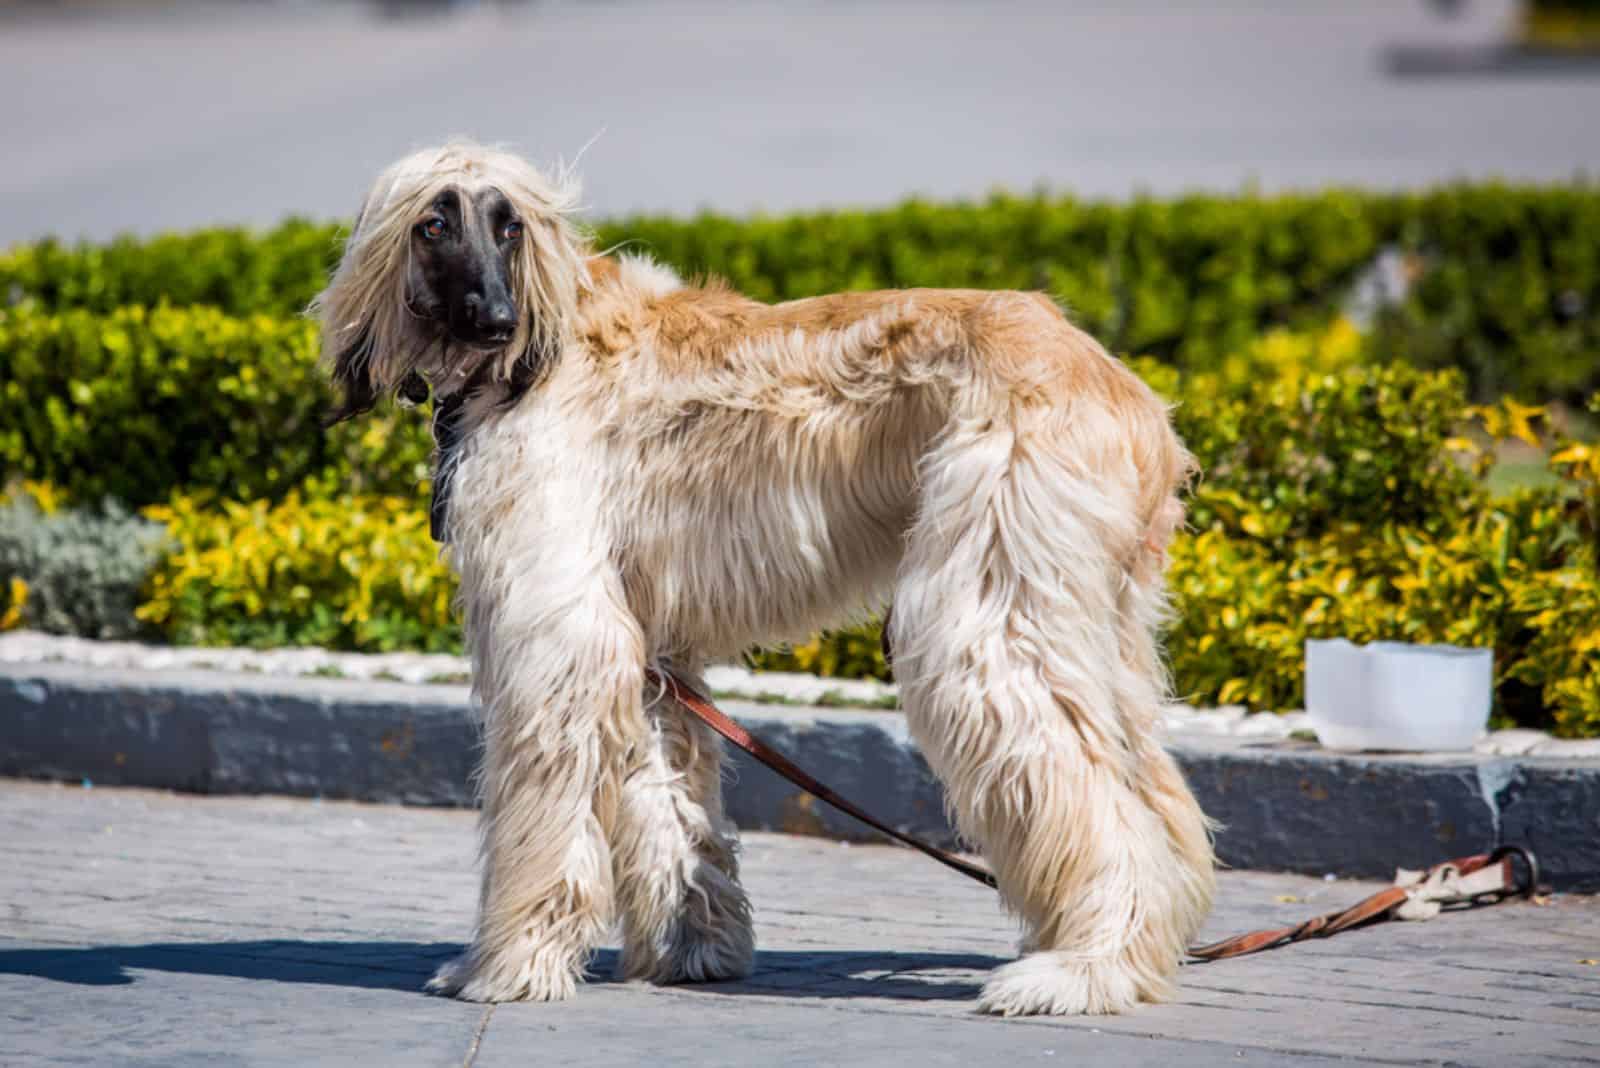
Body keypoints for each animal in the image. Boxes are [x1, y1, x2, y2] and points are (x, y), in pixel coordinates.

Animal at [312, 141, 1209, 1016]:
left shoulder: (563, 628)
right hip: (1094, 613)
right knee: (1145, 782)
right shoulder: (648, 641)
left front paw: (507, 961)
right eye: (434, 225)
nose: (497, 322)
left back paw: (1084, 969)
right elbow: (667, 794)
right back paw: (1135, 950)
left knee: (1089, 786)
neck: (545, 341)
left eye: (510, 228)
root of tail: (1128, 395)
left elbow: (549, 803)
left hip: (988, 602)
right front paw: (692, 947)